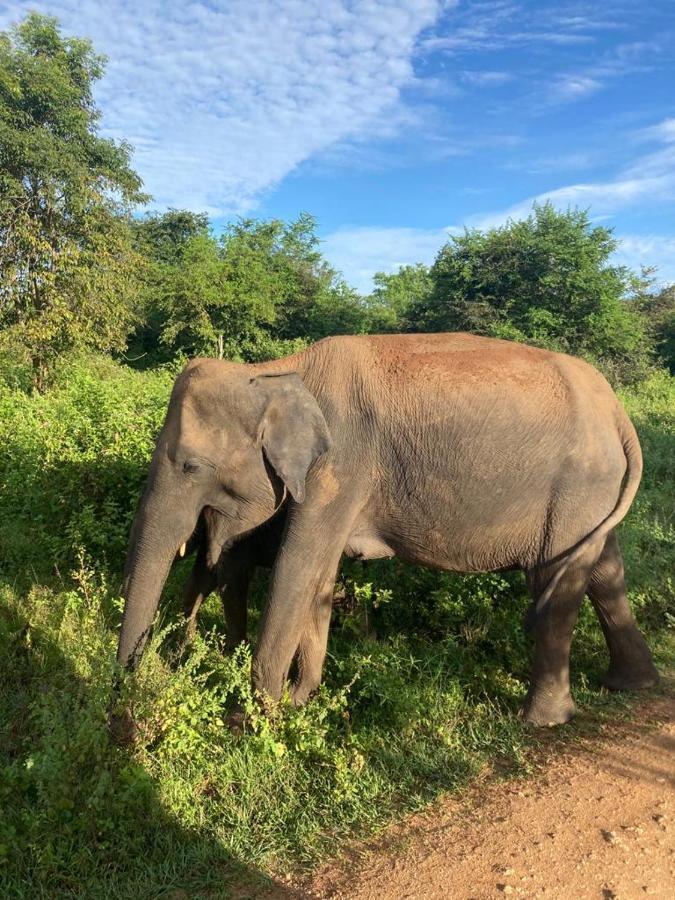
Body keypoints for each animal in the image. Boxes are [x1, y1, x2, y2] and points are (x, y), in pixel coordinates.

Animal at [116, 334, 660, 728]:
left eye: (191, 467)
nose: (125, 694)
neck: (276, 371)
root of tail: (617, 411)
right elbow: (319, 578)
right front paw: (299, 701)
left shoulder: (341, 466)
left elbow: (298, 570)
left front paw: (250, 721)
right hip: (591, 493)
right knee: (604, 570)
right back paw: (631, 685)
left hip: (575, 485)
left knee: (556, 581)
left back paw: (540, 721)